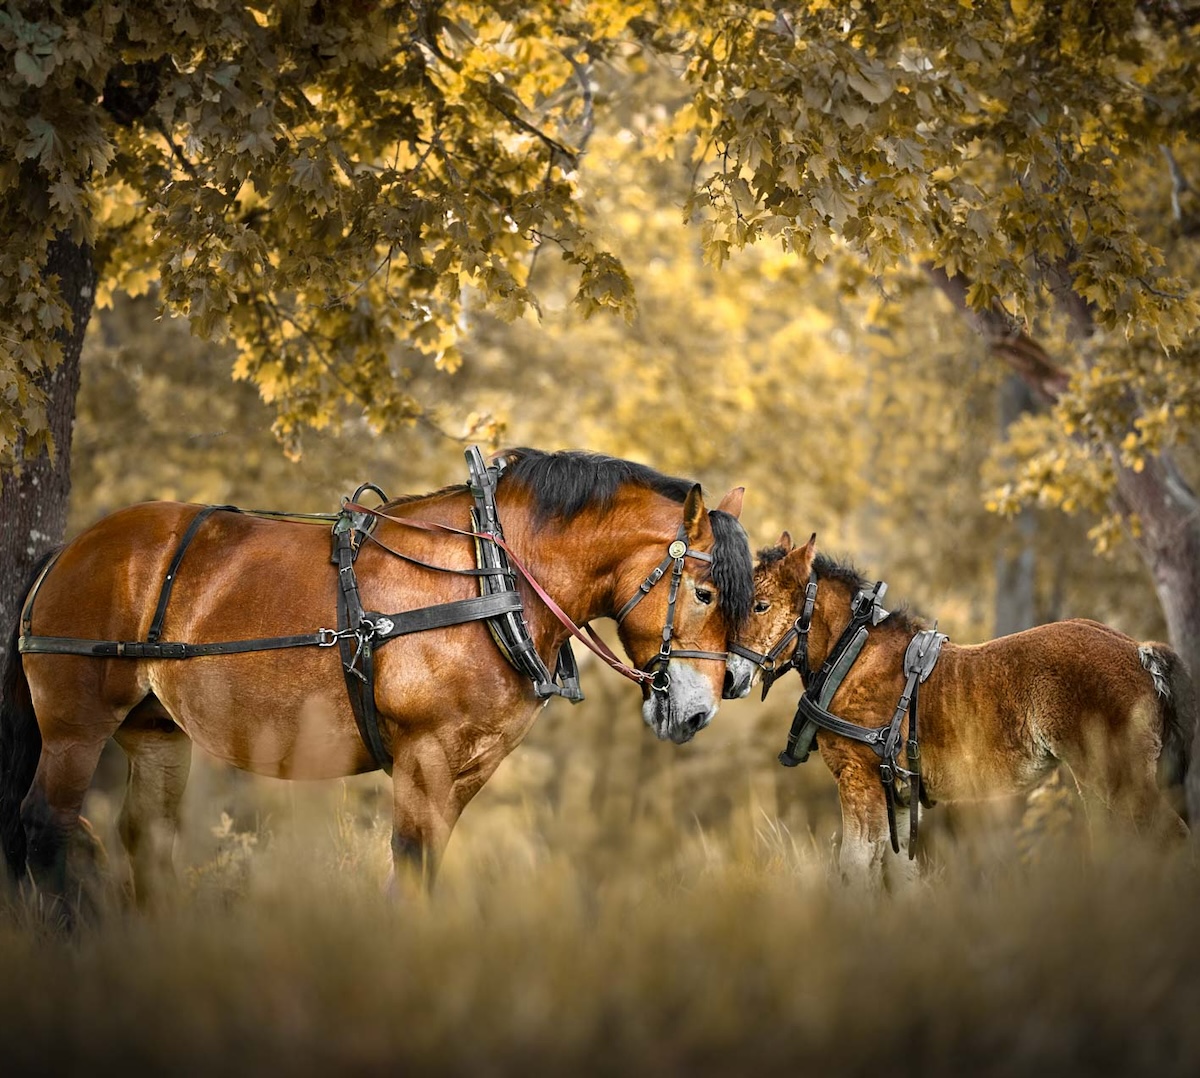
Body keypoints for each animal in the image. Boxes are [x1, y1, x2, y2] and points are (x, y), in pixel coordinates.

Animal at [0, 446, 748, 907]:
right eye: (707, 594)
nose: (698, 712)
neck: (492, 574)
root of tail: (70, 549)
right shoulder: (425, 755)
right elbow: (411, 870)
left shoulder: (467, 766)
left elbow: (426, 868)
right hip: (74, 728)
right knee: (48, 825)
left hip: (156, 732)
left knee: (144, 840)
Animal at [739, 528, 1190, 883]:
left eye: (760, 605)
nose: (732, 673)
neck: (852, 655)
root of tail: (1139, 651)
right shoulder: (897, 799)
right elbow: (902, 874)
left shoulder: (858, 782)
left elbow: (856, 869)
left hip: (1117, 778)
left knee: (1170, 836)